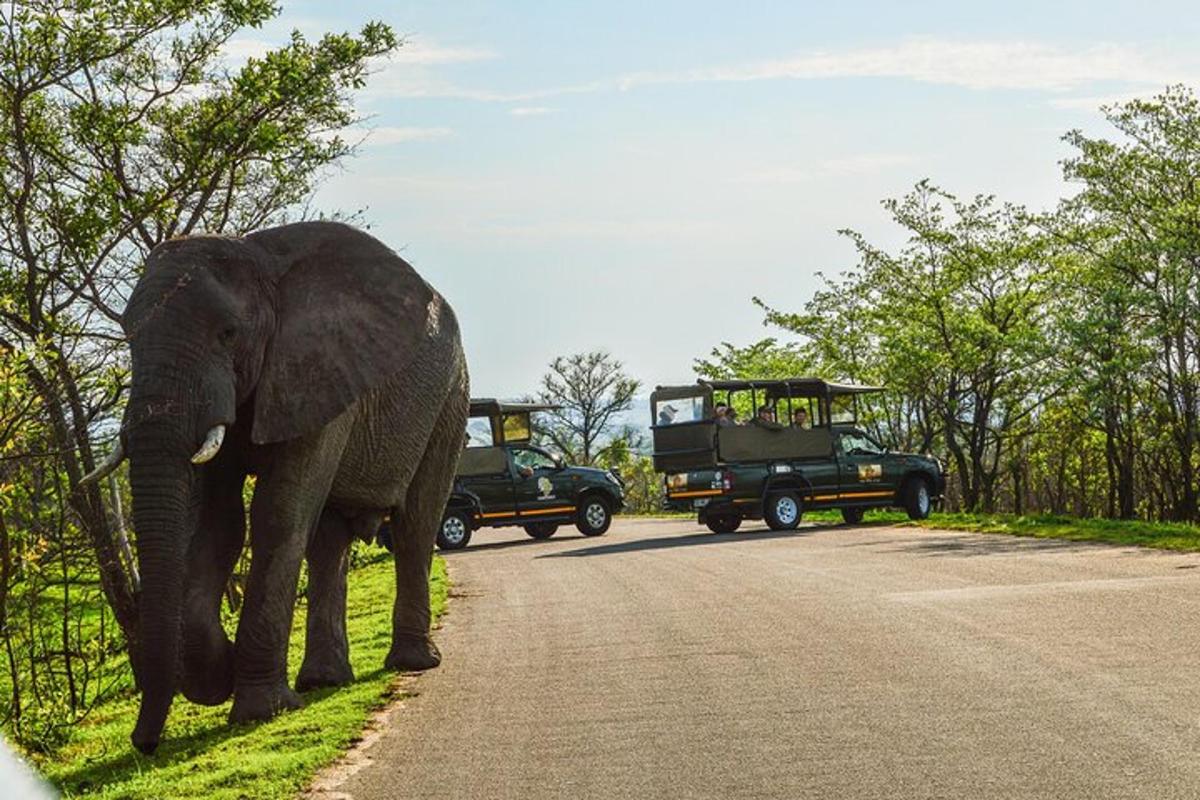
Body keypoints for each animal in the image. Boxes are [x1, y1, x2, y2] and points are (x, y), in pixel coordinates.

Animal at [82, 220, 468, 758]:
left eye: (228, 333)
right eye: (128, 337)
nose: (145, 744)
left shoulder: (316, 370)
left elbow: (278, 515)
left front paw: (261, 709)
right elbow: (218, 525)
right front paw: (217, 674)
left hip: (449, 396)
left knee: (416, 522)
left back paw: (411, 663)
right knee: (329, 541)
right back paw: (324, 682)